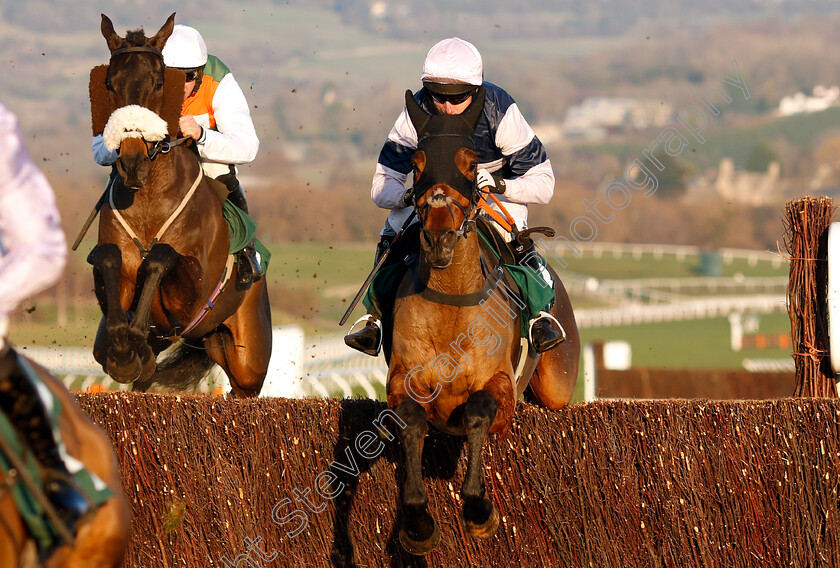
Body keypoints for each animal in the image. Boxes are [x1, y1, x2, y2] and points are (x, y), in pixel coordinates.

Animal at [86, 13, 270, 394]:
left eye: (159, 82)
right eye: (109, 83)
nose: (132, 163)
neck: (147, 202)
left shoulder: (192, 299)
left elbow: (162, 255)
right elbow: (108, 257)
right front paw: (126, 349)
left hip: (248, 362)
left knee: (243, 388)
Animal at [386, 89, 576, 556]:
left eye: (472, 164)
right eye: (416, 163)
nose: (438, 239)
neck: (452, 303)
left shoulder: (500, 388)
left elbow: (477, 411)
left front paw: (477, 509)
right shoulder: (402, 378)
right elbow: (411, 420)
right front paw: (417, 520)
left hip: (557, 381)